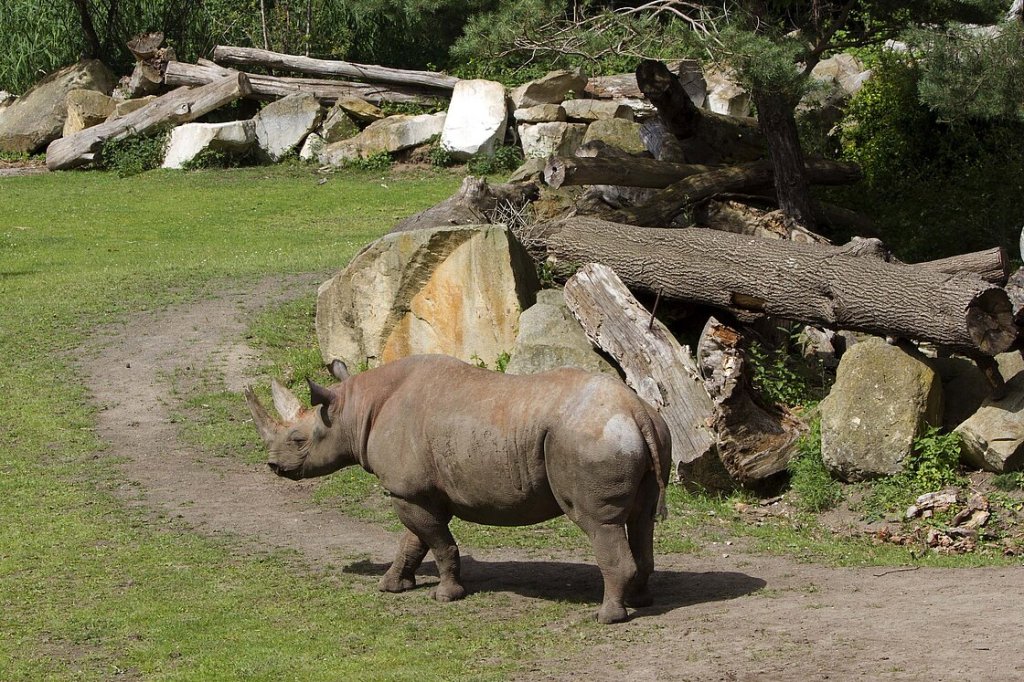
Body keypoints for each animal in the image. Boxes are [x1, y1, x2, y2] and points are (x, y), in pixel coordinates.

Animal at [243, 350, 667, 622]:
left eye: (298, 440)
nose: (273, 465)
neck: (353, 410)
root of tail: (636, 411)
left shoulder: (408, 492)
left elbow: (437, 543)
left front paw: (445, 595)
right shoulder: (417, 491)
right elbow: (413, 542)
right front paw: (390, 586)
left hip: (588, 439)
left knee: (599, 524)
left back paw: (607, 616)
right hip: (642, 432)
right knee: (641, 519)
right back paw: (642, 601)